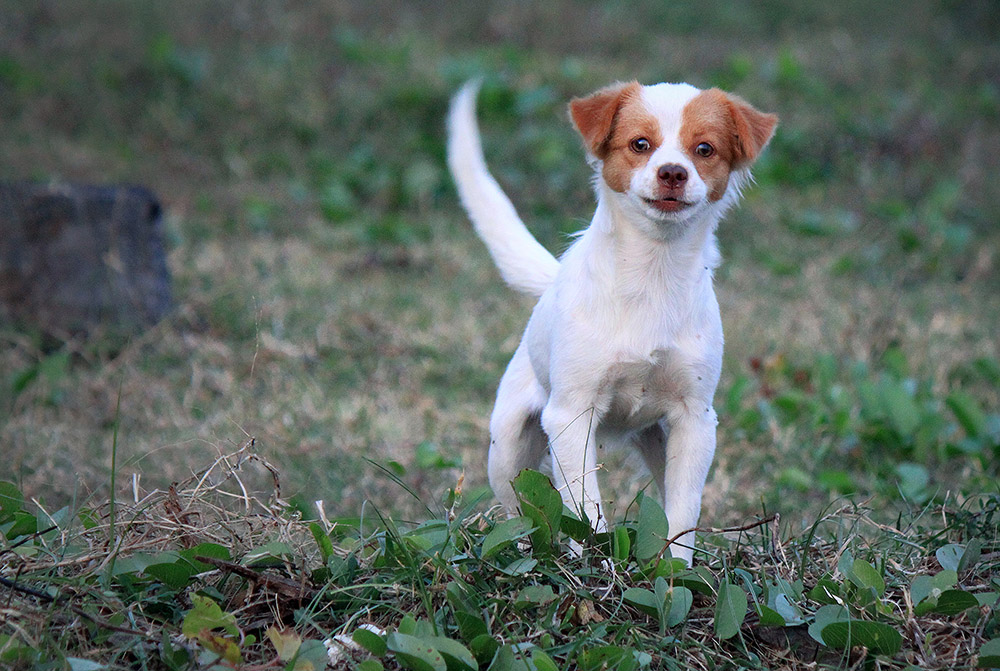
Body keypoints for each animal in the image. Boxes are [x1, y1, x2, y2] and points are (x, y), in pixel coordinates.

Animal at [448, 80, 780, 568]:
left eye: (704, 149)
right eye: (640, 144)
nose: (673, 173)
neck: (652, 272)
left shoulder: (695, 420)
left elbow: (683, 511)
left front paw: (675, 571)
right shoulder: (571, 415)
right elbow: (584, 506)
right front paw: (597, 564)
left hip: (658, 440)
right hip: (509, 448)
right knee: (520, 510)